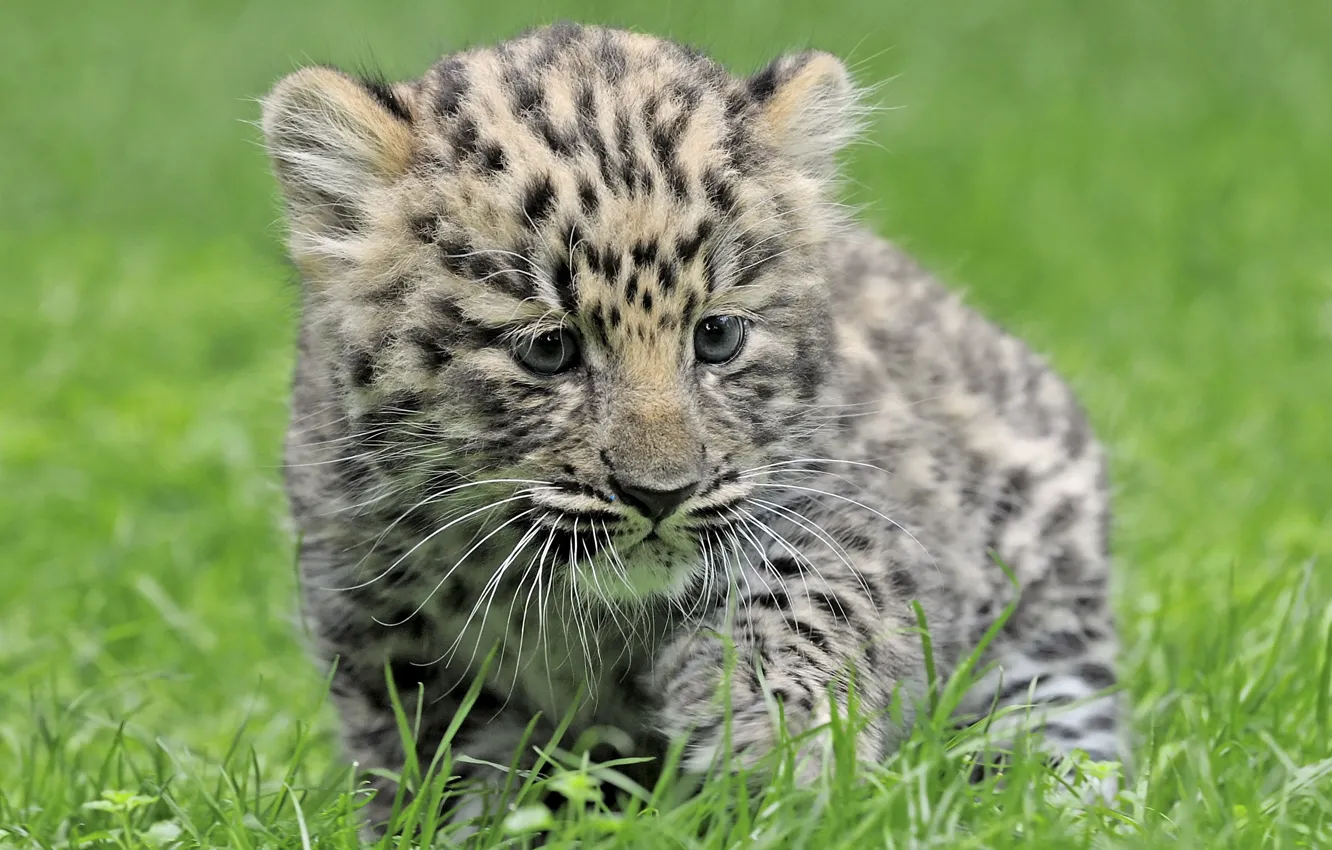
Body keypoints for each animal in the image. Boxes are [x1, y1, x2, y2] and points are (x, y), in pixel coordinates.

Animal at [259, 21, 1125, 836]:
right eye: (548, 350)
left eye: (717, 338)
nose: (660, 494)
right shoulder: (380, 620)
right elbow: (445, 765)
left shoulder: (855, 513)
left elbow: (809, 598)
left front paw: (775, 743)